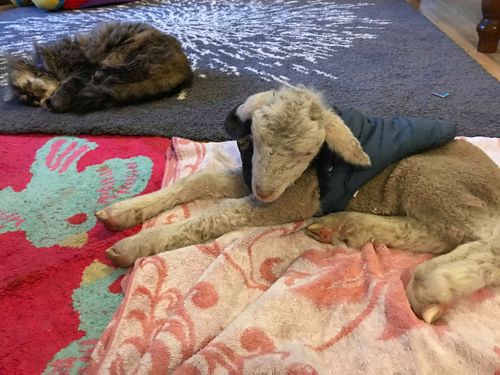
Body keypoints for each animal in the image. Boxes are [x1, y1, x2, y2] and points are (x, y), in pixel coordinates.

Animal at [9, 21, 195, 113]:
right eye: (26, 98)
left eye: (28, 86)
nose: (32, 94)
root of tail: (186, 69)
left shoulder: (81, 68)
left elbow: (66, 85)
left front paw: (56, 101)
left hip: (133, 52)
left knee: (128, 71)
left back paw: (101, 76)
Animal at [94, 85, 500, 324]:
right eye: (255, 137)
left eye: (308, 153)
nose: (264, 191)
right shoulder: (249, 177)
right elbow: (199, 181)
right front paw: (124, 211)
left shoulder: (292, 200)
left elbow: (217, 214)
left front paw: (134, 245)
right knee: (430, 233)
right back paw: (343, 226)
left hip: (431, 179)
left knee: (486, 241)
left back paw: (434, 287)